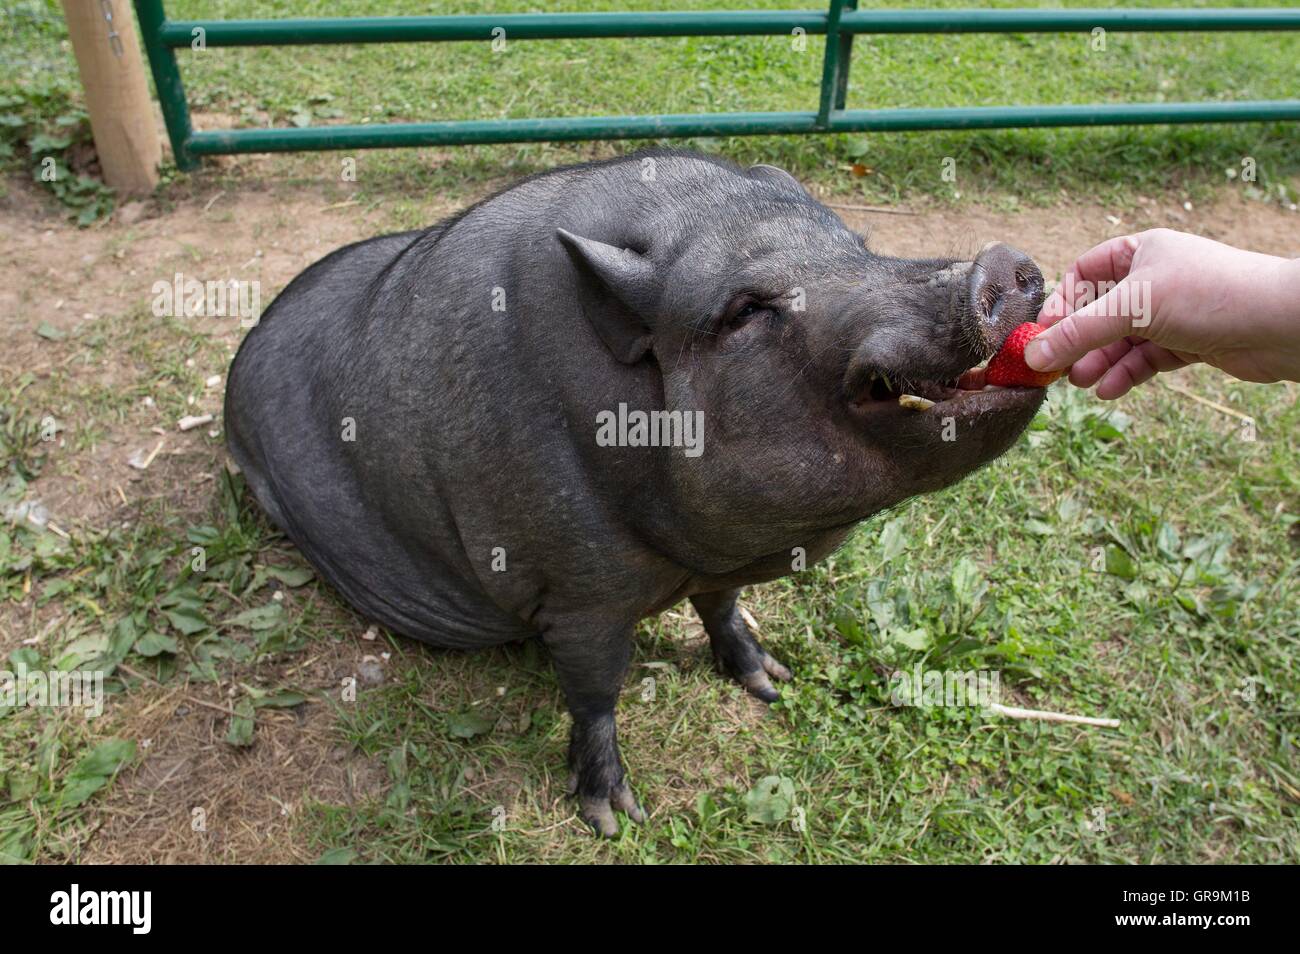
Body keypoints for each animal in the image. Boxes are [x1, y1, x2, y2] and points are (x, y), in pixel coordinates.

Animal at [224, 149, 1046, 836]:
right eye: (746, 309)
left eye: (860, 246)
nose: (1001, 263)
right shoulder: (576, 591)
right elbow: (595, 693)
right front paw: (614, 821)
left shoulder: (716, 567)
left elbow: (724, 610)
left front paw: (774, 683)